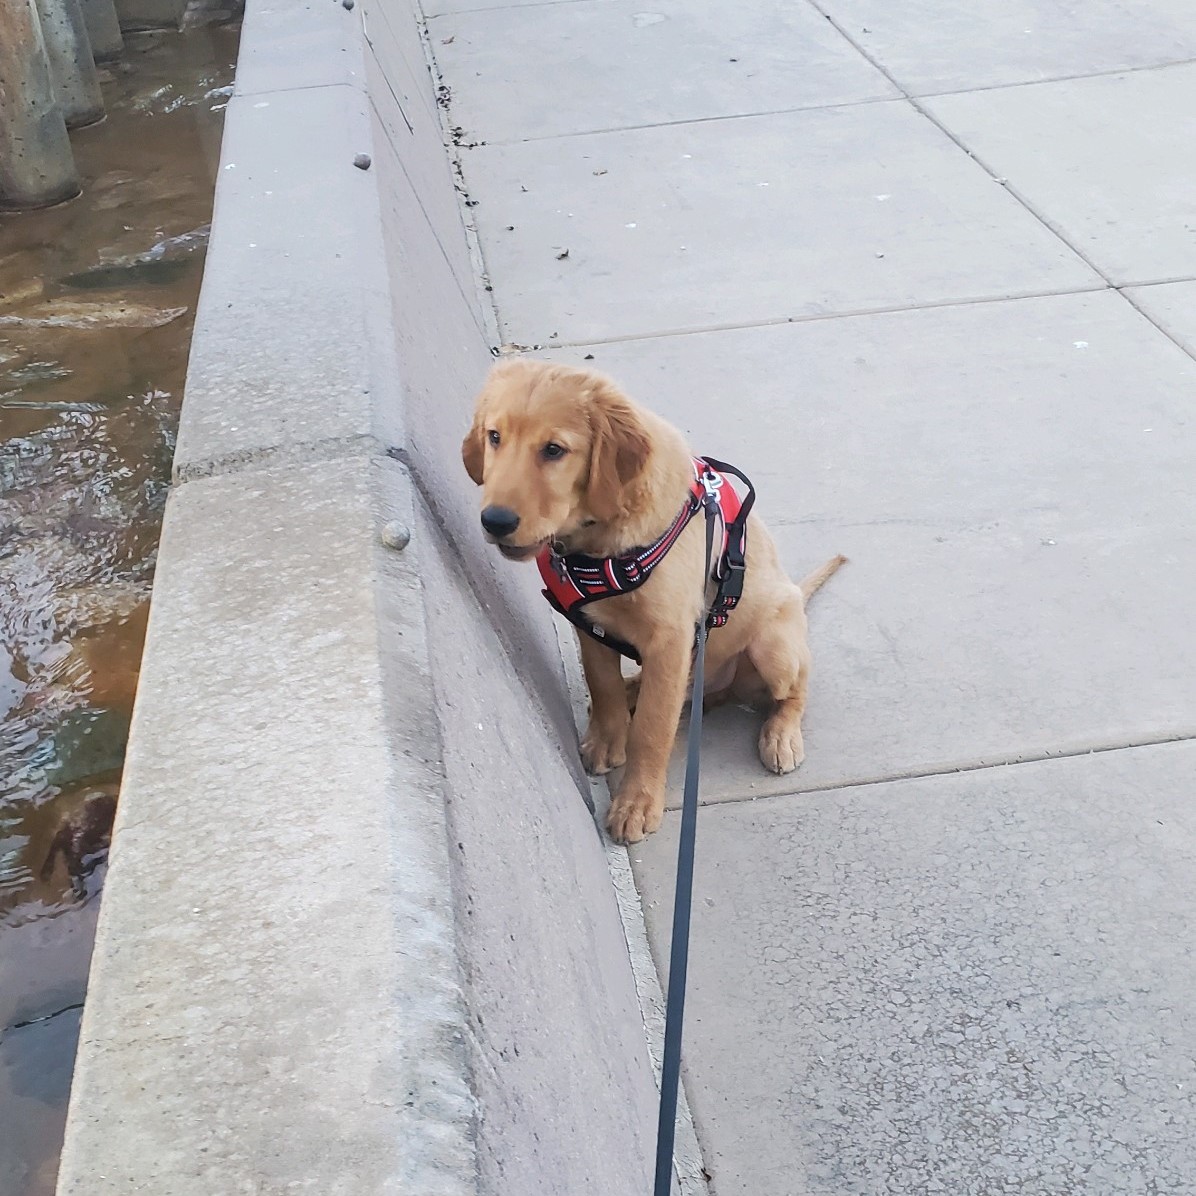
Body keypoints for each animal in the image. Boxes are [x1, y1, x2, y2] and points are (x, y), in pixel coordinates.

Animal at [456, 354, 841, 841]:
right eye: (494, 437)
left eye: (554, 450)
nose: (496, 521)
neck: (599, 541)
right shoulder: (589, 622)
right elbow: (601, 684)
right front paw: (608, 737)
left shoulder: (671, 640)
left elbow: (653, 730)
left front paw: (637, 802)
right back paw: (636, 689)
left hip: (774, 646)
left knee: (793, 690)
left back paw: (780, 734)